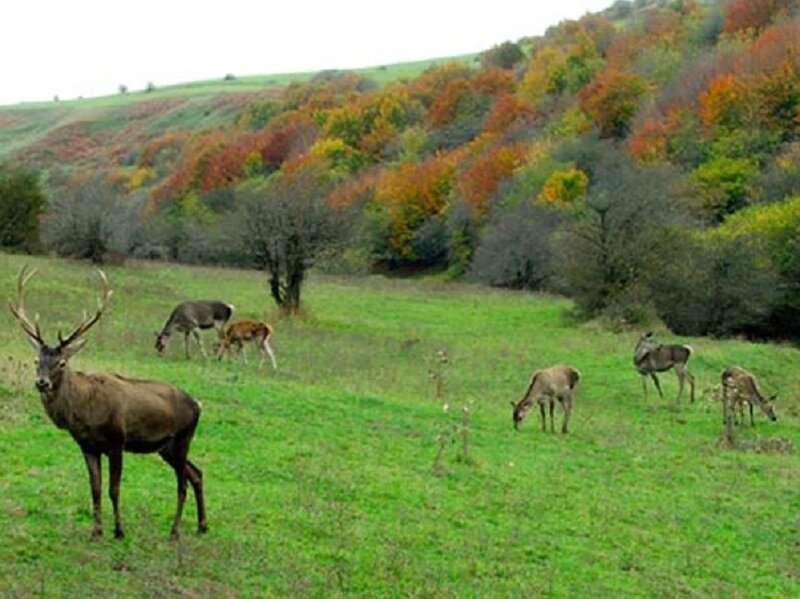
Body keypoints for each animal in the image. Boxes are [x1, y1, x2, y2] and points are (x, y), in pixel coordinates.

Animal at [9, 266, 206, 540]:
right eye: (37, 360)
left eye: (62, 363)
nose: (42, 383)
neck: (86, 413)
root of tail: (197, 405)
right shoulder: (87, 445)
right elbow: (95, 488)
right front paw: (96, 531)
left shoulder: (117, 440)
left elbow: (114, 488)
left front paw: (119, 530)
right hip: (166, 447)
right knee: (196, 473)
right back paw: (202, 525)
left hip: (182, 438)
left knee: (182, 483)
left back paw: (175, 531)